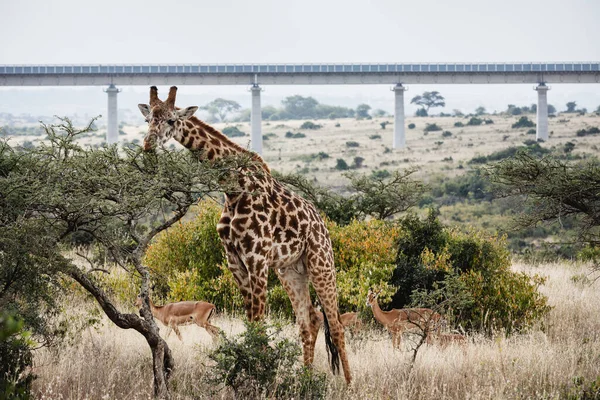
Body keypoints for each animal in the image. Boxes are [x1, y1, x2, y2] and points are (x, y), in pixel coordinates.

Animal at [138, 86, 354, 382]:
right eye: (148, 119)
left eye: (171, 119)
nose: (147, 146)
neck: (233, 188)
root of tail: (323, 225)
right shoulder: (235, 261)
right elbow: (250, 322)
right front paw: (250, 375)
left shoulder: (257, 259)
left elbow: (259, 324)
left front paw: (260, 376)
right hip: (290, 271)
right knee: (308, 322)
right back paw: (306, 380)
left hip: (321, 264)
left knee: (336, 324)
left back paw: (349, 384)